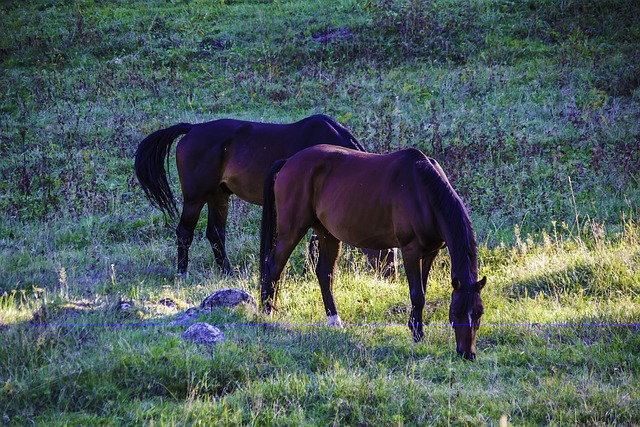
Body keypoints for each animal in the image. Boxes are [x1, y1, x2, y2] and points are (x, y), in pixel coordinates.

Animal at [135, 115, 396, 276]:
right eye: (387, 249)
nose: (390, 276)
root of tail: (192, 128)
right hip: (195, 197)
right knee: (185, 231)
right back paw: (183, 272)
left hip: (219, 195)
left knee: (215, 234)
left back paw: (227, 272)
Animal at [260, 145, 484, 362]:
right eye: (455, 312)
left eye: (479, 313)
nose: (467, 354)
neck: (424, 192)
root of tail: (288, 162)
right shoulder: (411, 250)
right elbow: (417, 295)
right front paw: (418, 336)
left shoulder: (430, 252)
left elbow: (423, 290)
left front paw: (415, 328)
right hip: (292, 231)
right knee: (273, 267)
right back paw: (266, 314)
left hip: (327, 234)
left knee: (324, 275)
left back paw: (335, 322)